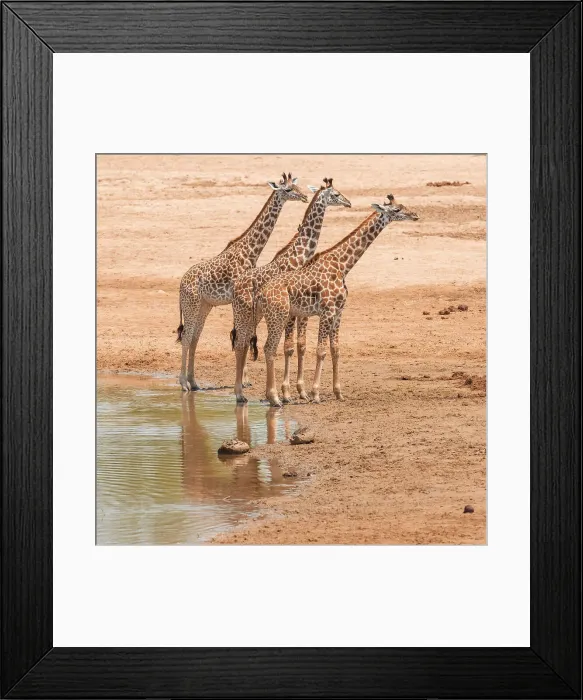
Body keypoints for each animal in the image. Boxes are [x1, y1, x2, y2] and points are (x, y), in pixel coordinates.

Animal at [176, 173, 307, 391]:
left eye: (297, 187)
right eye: (288, 190)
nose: (305, 197)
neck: (250, 251)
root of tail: (180, 284)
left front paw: (244, 380)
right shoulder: (238, 298)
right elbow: (241, 335)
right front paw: (244, 380)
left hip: (204, 305)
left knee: (194, 337)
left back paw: (193, 382)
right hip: (191, 304)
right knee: (186, 337)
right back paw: (184, 383)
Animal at [230, 178, 352, 403]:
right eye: (336, 194)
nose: (348, 203)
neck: (299, 255)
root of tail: (236, 286)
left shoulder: (301, 310)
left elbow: (299, 345)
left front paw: (300, 391)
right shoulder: (296, 311)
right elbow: (290, 346)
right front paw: (290, 392)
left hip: (251, 315)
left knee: (242, 341)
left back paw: (242, 389)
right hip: (248, 313)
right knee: (241, 342)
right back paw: (243, 390)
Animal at [254, 194, 419, 407]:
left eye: (404, 206)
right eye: (397, 210)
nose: (415, 215)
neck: (343, 265)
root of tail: (260, 293)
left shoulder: (339, 312)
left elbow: (336, 350)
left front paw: (338, 393)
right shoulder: (327, 311)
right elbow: (321, 350)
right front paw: (316, 394)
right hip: (278, 316)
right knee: (269, 348)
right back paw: (275, 397)